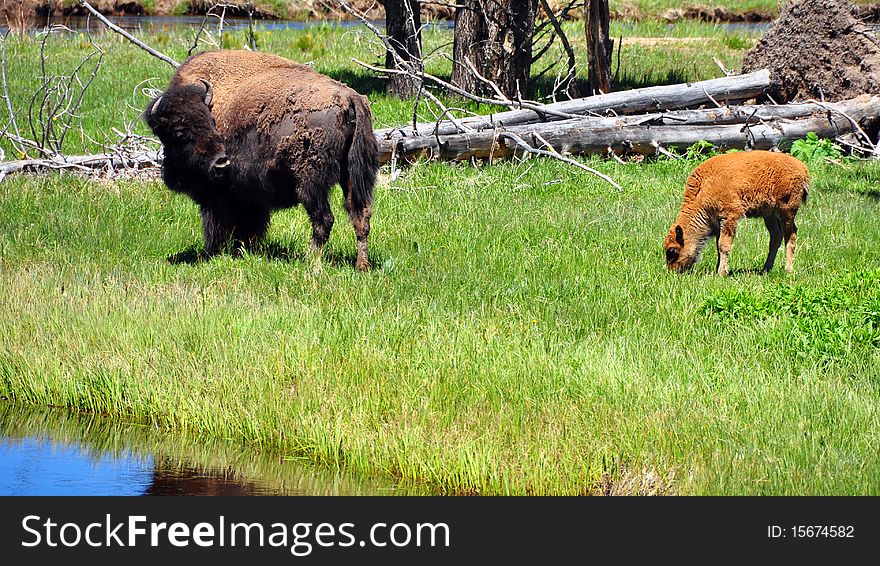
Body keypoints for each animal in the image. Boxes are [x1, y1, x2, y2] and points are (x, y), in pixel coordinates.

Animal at [144, 50, 378, 272]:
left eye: (210, 122)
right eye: (180, 133)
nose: (220, 163)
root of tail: (350, 99)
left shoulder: (219, 195)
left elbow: (219, 226)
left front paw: (212, 253)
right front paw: (243, 251)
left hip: (311, 183)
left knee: (324, 220)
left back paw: (311, 264)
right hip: (353, 175)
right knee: (361, 216)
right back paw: (361, 266)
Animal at [664, 150, 808, 276]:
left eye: (672, 250)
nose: (673, 271)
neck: (703, 188)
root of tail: (801, 167)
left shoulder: (729, 217)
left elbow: (723, 245)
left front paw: (722, 273)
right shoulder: (719, 223)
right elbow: (718, 246)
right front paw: (718, 269)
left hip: (787, 212)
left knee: (790, 236)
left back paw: (788, 270)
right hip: (770, 215)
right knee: (776, 237)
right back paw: (766, 269)